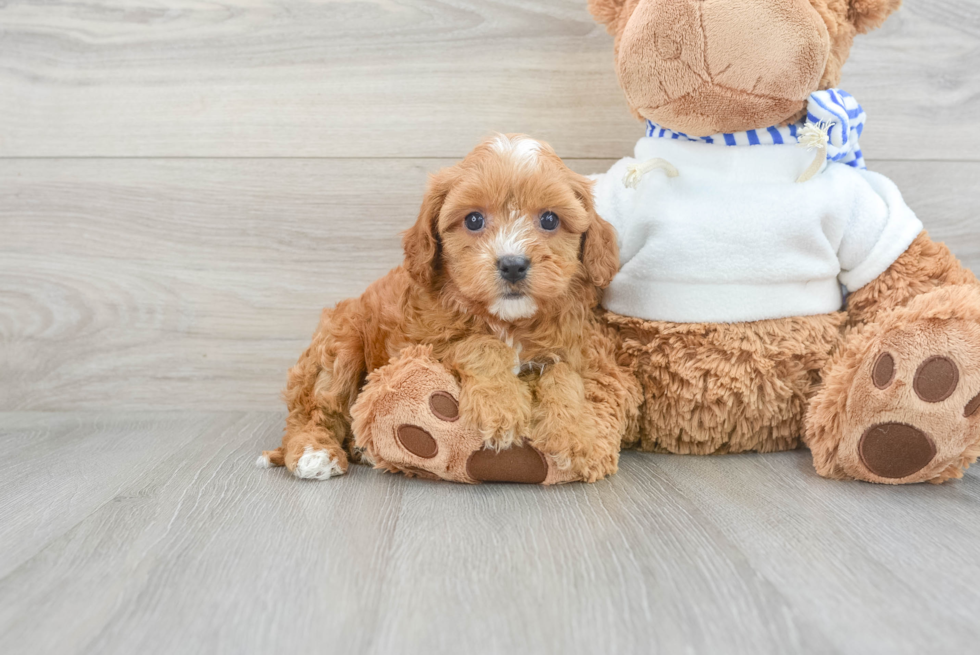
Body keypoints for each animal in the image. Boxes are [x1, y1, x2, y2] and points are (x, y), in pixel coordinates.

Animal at [260, 135, 640, 482]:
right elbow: (480, 344)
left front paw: (577, 434)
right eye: (473, 220)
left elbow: (564, 373)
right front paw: (501, 406)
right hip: (340, 343)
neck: (508, 321)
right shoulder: (420, 344)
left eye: (549, 220)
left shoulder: (578, 349)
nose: (513, 265)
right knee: (313, 410)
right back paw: (315, 452)